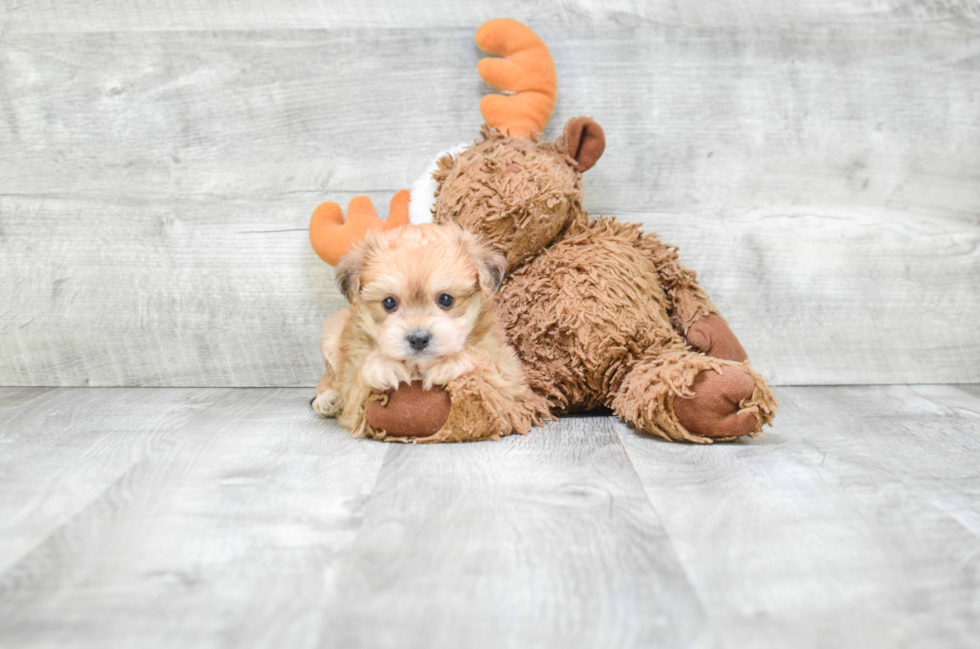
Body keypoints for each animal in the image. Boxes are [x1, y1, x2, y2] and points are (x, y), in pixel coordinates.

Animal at [312, 220, 532, 438]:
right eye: (389, 302)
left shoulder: (512, 379)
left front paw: (449, 362)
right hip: (332, 334)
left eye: (446, 299)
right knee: (328, 381)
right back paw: (328, 400)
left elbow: (487, 364)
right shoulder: (353, 393)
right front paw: (384, 365)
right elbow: (357, 387)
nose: (418, 339)